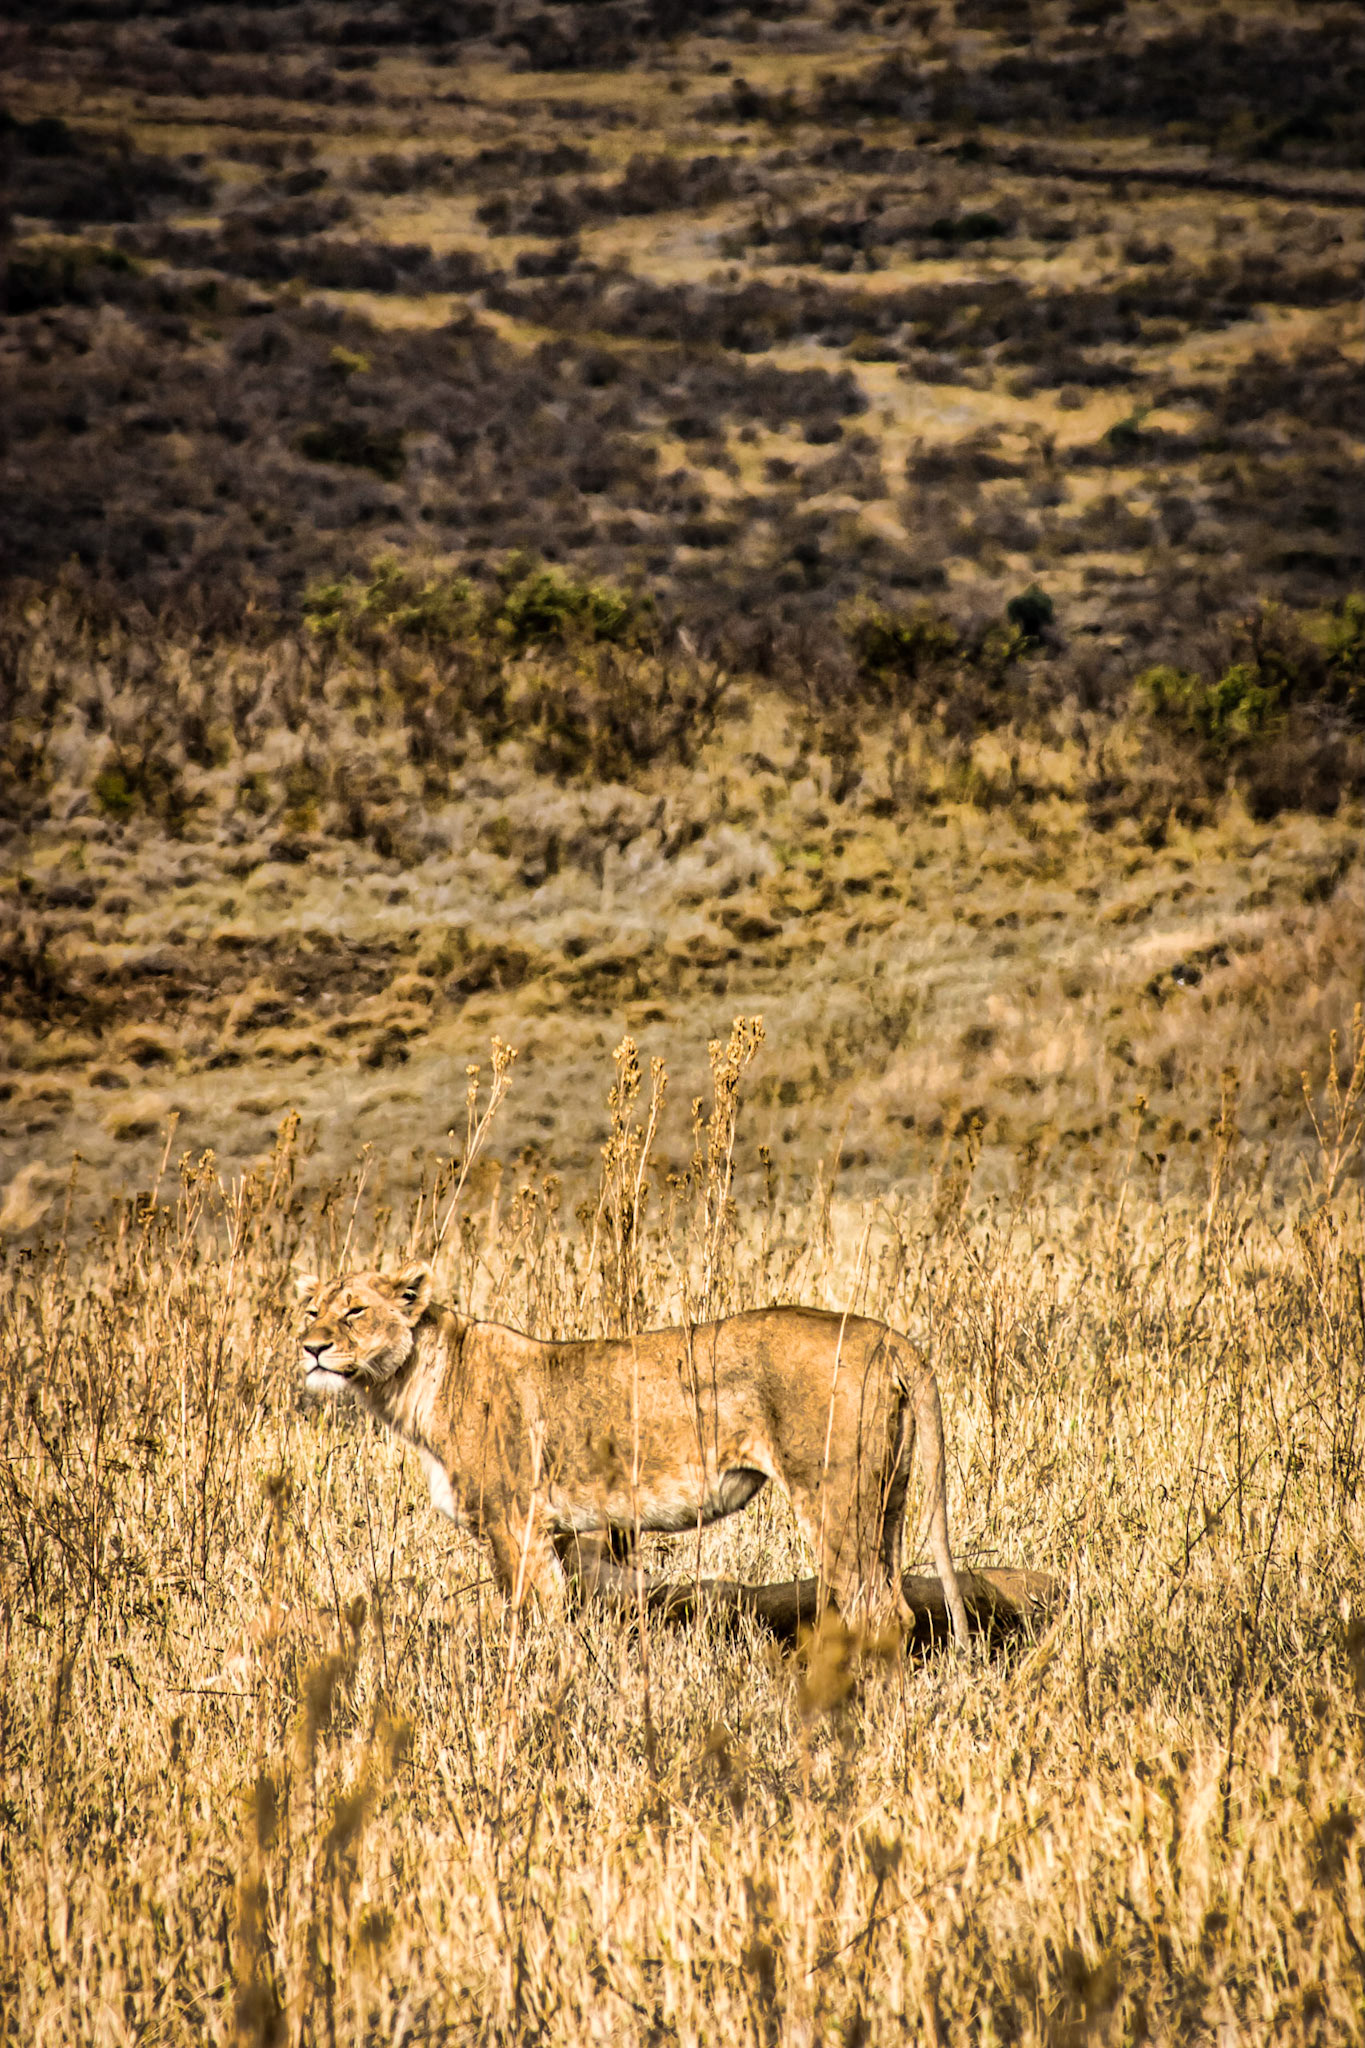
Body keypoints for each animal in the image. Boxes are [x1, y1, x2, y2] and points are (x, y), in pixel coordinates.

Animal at [295, 1261, 970, 1644]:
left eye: (355, 1309)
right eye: (311, 1309)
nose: (311, 1348)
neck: (409, 1384)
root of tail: (885, 1334)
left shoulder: (516, 1523)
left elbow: (532, 1620)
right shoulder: (570, 1535)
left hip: (834, 1499)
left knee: (881, 1612)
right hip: (887, 1499)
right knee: (895, 1603)